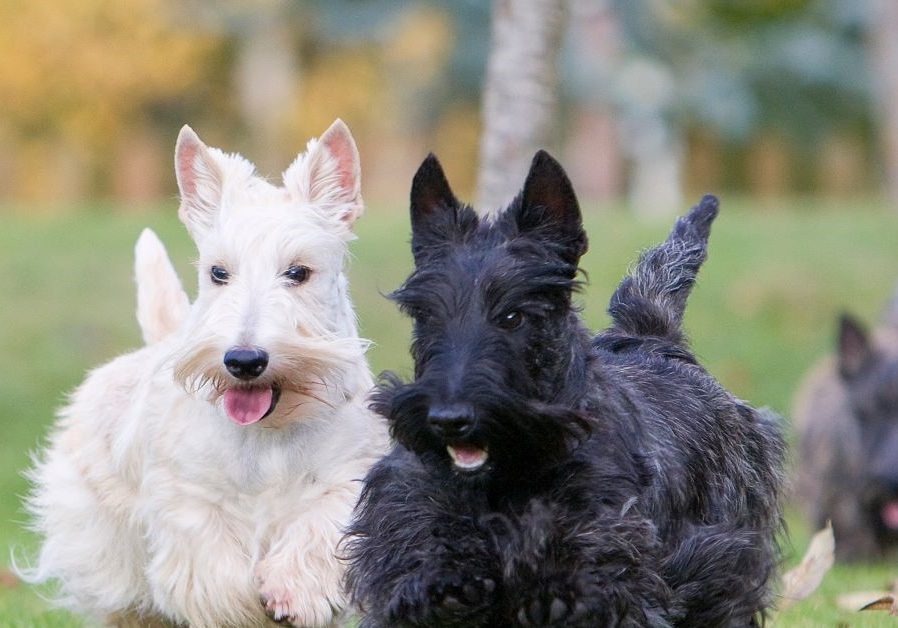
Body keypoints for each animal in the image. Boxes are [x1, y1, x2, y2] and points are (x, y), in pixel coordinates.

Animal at [21, 120, 384, 624]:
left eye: (298, 272)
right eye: (218, 272)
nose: (244, 361)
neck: (270, 432)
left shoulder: (344, 481)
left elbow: (316, 534)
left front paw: (290, 591)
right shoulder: (188, 501)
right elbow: (217, 573)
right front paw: (243, 606)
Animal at [344, 152, 784, 628]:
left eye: (515, 315)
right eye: (425, 314)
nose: (448, 420)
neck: (506, 479)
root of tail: (655, 336)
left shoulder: (608, 570)